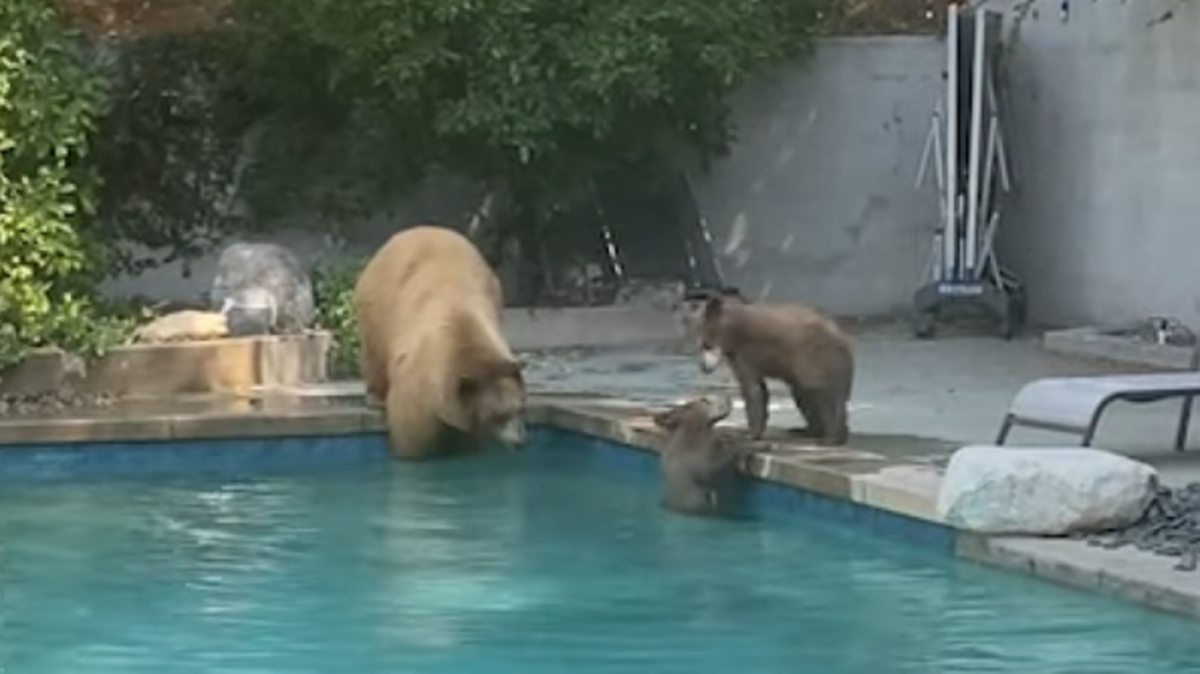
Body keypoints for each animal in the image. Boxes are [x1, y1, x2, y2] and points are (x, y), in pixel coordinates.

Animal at [352, 225, 527, 460]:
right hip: (376, 305)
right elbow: (411, 436)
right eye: (498, 416)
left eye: (519, 408)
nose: (520, 442)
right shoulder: (420, 394)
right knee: (374, 353)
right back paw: (375, 397)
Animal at [694, 291, 854, 446]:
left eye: (706, 345)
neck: (731, 333)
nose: (703, 367)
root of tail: (841, 338)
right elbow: (760, 389)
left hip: (816, 358)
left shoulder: (745, 353)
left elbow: (752, 390)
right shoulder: (739, 355)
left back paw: (831, 438)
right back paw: (808, 431)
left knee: (819, 391)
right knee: (803, 394)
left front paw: (750, 434)